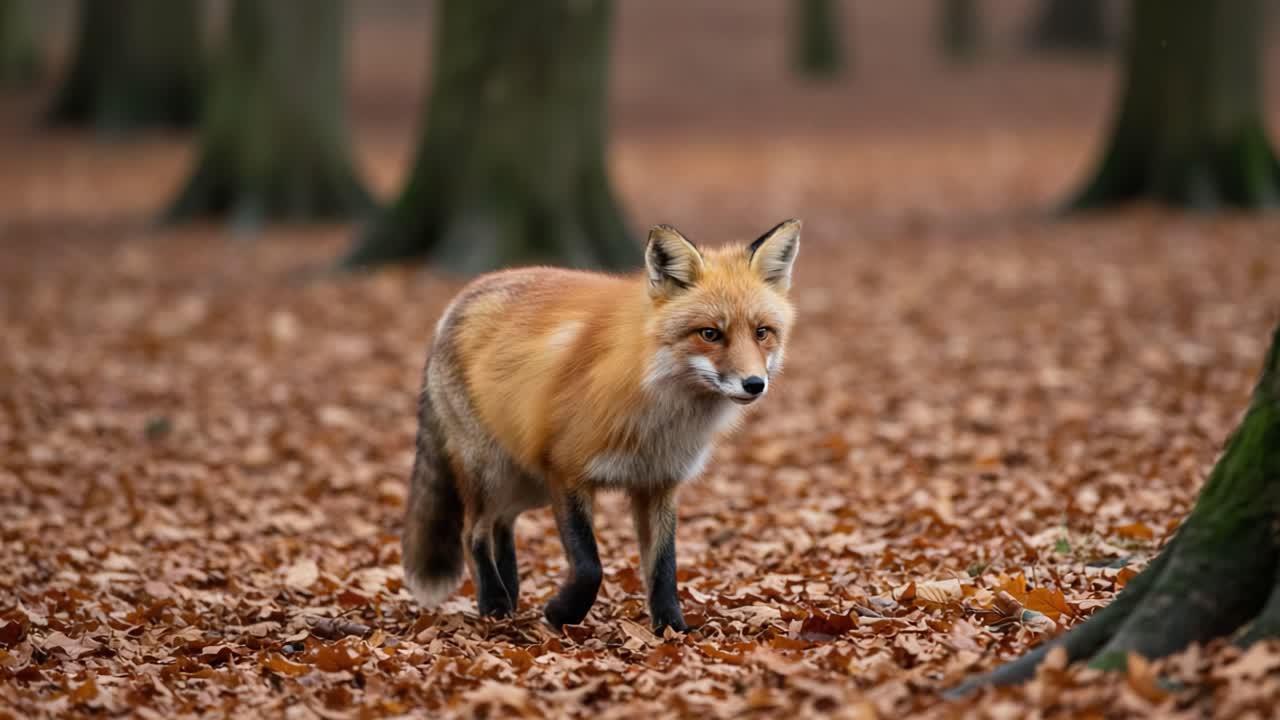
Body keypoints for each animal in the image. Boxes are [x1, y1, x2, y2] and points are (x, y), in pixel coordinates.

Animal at [401, 219, 801, 632]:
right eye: (710, 333)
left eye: (762, 332)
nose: (754, 384)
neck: (659, 416)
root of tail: (459, 298)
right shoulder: (566, 472)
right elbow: (589, 566)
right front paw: (562, 613)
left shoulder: (658, 483)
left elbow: (664, 567)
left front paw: (671, 627)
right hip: (492, 470)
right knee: (473, 532)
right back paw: (493, 601)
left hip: (526, 479)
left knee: (501, 524)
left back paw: (509, 593)